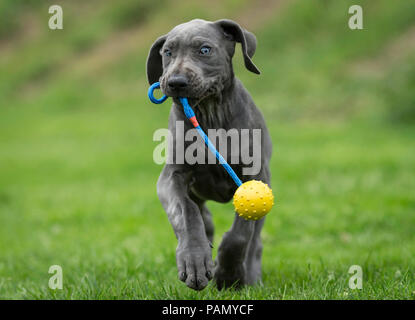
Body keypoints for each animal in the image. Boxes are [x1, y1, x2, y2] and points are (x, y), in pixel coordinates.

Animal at [146, 18, 272, 292]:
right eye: (167, 52)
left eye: (204, 50)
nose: (176, 82)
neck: (210, 115)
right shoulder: (171, 177)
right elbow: (186, 212)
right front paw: (194, 261)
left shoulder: (256, 175)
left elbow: (241, 232)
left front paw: (228, 275)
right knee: (203, 219)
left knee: (255, 241)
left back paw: (250, 275)